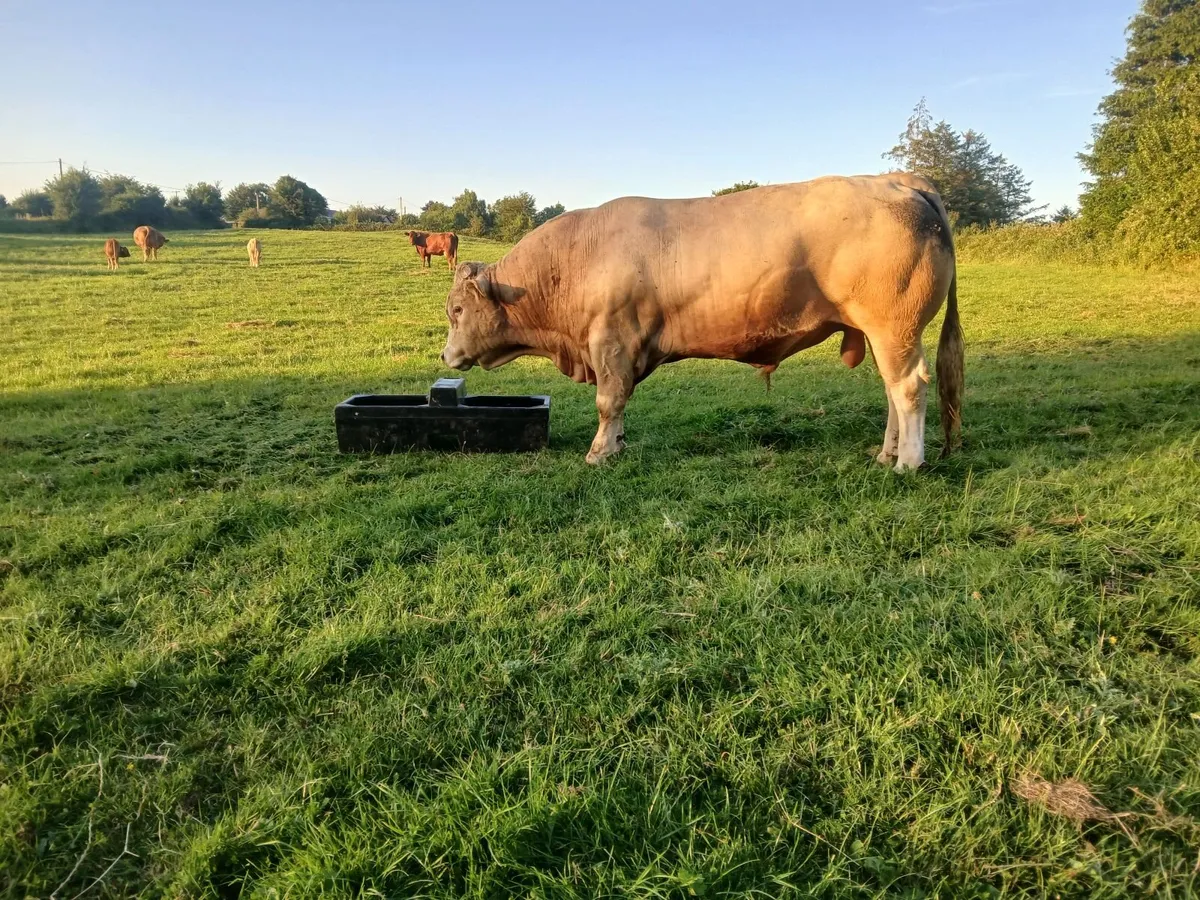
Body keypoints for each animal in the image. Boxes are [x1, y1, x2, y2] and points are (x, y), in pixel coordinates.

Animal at [440, 174, 963, 471]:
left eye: (457, 311)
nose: (445, 354)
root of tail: (898, 181)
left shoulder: (611, 342)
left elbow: (609, 402)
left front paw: (600, 452)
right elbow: (620, 406)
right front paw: (619, 445)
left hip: (894, 328)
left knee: (909, 387)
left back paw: (907, 463)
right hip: (881, 334)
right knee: (892, 391)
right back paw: (887, 453)